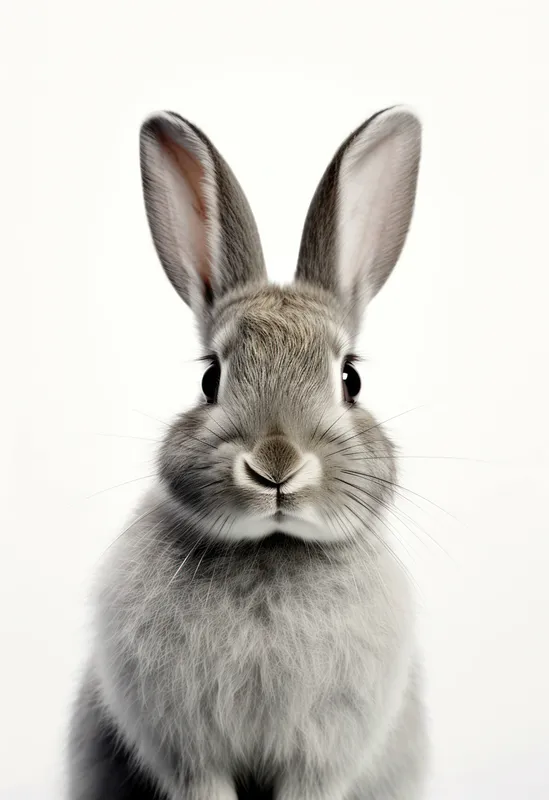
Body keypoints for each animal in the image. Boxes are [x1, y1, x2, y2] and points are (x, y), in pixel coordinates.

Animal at [67, 106, 427, 800]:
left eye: (351, 380)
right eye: (211, 379)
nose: (276, 467)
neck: (272, 547)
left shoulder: (318, 758)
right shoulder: (190, 753)